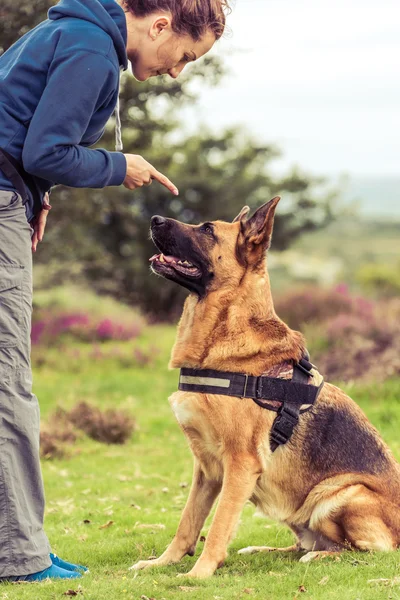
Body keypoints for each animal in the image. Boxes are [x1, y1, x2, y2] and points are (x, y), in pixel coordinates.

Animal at [130, 199, 400, 580]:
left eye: (207, 230)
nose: (153, 218)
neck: (226, 329)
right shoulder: (206, 469)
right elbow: (187, 523)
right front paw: (163, 563)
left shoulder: (241, 465)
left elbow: (218, 526)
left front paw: (198, 574)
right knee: (306, 543)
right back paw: (268, 549)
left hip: (337, 495)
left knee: (363, 550)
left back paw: (322, 557)